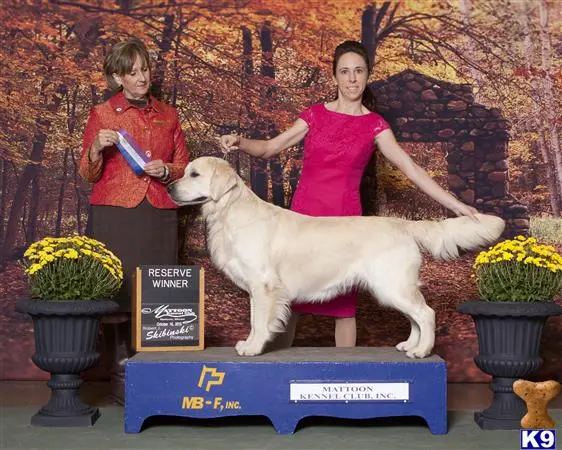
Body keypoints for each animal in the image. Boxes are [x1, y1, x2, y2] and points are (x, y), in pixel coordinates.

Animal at [166, 156, 504, 356]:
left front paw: (253, 348)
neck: (230, 212)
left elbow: (260, 322)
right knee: (415, 317)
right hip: (392, 288)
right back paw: (410, 345)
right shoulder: (255, 289)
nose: (168, 188)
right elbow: (252, 320)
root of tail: (401, 224)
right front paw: (248, 343)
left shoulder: (264, 286)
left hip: (391, 285)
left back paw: (422, 351)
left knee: (427, 314)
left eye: (194, 174)